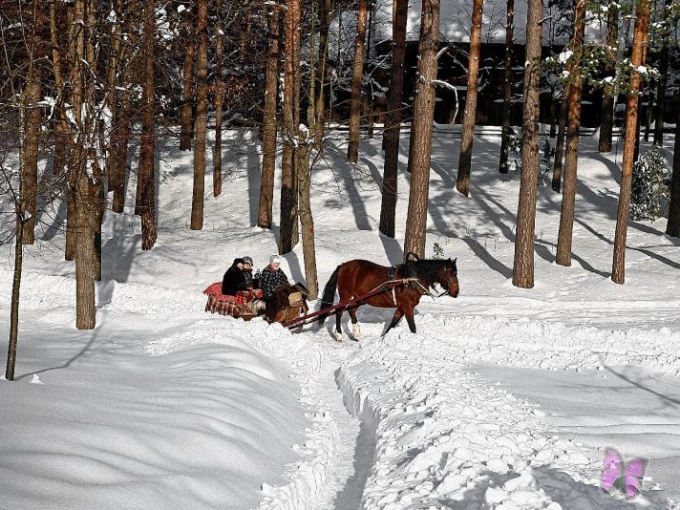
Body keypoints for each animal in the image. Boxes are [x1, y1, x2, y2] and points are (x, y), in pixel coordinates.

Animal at [318, 255, 456, 342]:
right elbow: (412, 326)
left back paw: (356, 334)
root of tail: (343, 266)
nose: (456, 292)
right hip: (346, 296)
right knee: (339, 312)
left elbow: (393, 323)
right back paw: (339, 335)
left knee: (351, 311)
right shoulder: (407, 306)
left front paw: (383, 338)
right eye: (450, 274)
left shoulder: (401, 307)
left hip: (359, 298)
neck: (410, 279)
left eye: (456, 273)